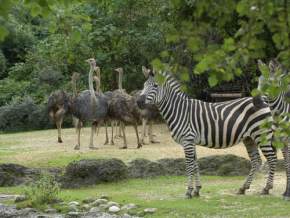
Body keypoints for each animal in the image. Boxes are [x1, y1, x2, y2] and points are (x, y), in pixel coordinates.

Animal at [137, 70, 278, 198]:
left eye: (155, 85)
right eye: (144, 85)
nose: (138, 102)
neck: (179, 111)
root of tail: (264, 99)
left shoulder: (187, 140)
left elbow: (189, 166)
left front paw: (188, 191)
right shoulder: (191, 141)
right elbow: (195, 165)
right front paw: (197, 190)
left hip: (262, 135)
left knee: (272, 159)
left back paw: (266, 188)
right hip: (249, 138)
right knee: (256, 161)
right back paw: (243, 188)